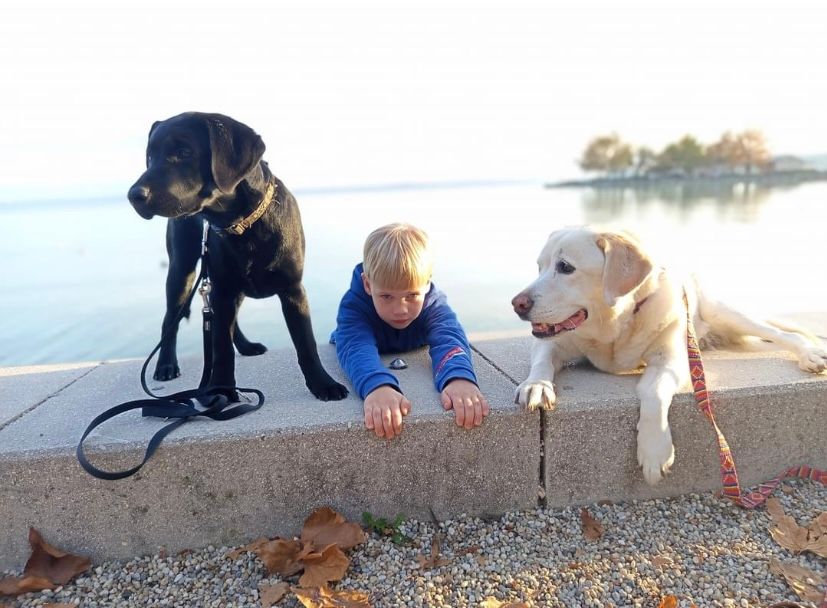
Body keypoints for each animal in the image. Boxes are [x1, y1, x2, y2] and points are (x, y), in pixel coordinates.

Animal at [126, 111, 350, 402]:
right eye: (150, 157)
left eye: (185, 152)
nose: (134, 195)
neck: (245, 226)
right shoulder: (223, 289)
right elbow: (221, 349)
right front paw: (220, 389)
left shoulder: (292, 290)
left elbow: (306, 344)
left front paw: (323, 384)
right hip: (182, 270)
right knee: (170, 321)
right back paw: (166, 365)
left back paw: (245, 345)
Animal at [512, 226, 827, 486]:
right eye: (539, 267)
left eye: (565, 267)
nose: (517, 303)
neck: (616, 325)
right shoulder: (554, 342)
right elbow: (542, 360)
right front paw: (536, 386)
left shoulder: (672, 361)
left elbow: (653, 394)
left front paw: (654, 451)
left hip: (724, 312)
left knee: (782, 333)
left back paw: (809, 354)